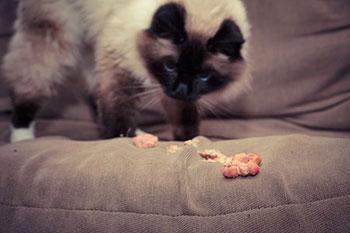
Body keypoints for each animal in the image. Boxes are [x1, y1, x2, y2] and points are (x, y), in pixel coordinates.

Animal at [1, 0, 250, 142]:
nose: (180, 89)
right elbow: (118, 106)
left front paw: (188, 140)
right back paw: (22, 137)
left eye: (203, 76)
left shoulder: (175, 92)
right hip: (56, 33)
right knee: (28, 81)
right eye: (170, 65)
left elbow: (184, 115)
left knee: (96, 93)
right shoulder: (118, 57)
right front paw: (122, 136)